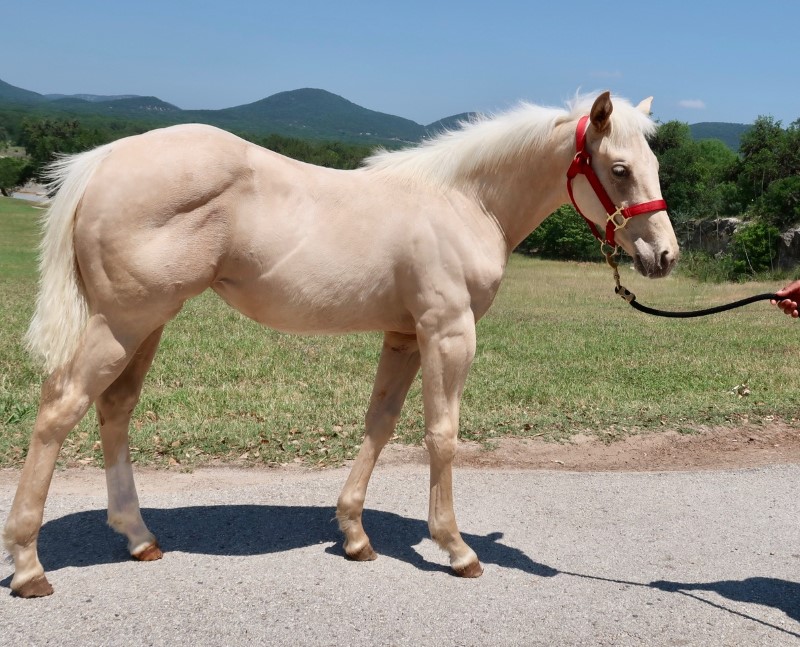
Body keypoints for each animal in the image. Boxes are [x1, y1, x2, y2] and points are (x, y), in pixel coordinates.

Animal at [4, 91, 676, 596]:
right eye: (619, 169)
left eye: (654, 164)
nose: (664, 256)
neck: (464, 201)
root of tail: (104, 159)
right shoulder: (448, 332)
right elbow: (442, 433)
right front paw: (456, 549)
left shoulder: (404, 335)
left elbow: (380, 423)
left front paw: (354, 535)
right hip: (124, 321)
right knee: (60, 406)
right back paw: (29, 566)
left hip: (146, 323)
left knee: (114, 408)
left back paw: (139, 538)